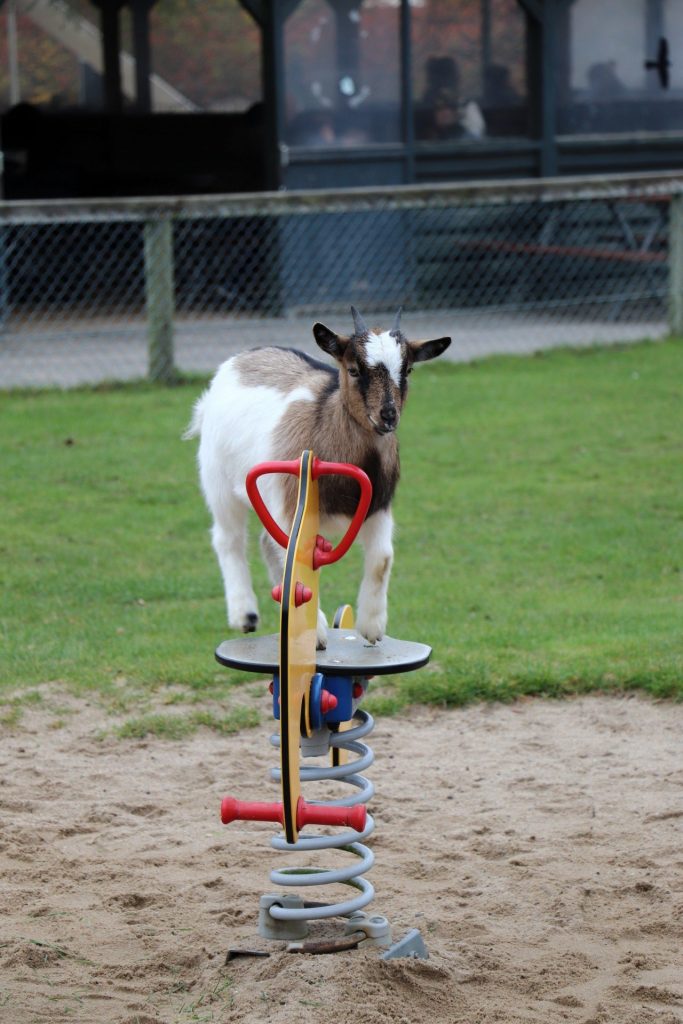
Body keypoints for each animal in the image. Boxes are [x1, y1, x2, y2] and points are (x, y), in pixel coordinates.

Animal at [187, 303, 450, 651]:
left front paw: (372, 627)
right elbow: (298, 561)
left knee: (267, 543)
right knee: (228, 539)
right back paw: (245, 614)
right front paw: (316, 634)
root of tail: (241, 359)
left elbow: (382, 559)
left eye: (407, 371)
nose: (388, 416)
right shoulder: (290, 505)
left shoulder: (378, 507)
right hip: (219, 482)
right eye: (353, 370)